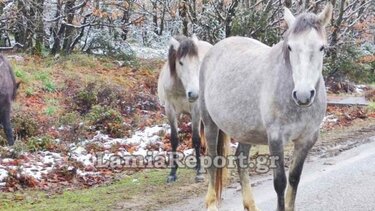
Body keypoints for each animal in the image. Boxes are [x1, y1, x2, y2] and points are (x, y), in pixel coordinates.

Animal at [157, 34, 213, 183]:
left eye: (197, 63)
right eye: (181, 63)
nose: (194, 93)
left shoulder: (196, 110)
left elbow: (196, 139)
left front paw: (199, 173)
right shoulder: (170, 111)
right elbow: (174, 139)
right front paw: (173, 172)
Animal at [198, 3, 334, 211]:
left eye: (322, 47)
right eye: (290, 47)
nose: (303, 95)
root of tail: (214, 49)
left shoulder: (307, 140)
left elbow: (294, 179)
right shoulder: (276, 139)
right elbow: (280, 183)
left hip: (245, 129)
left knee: (241, 159)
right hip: (210, 123)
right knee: (213, 160)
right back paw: (211, 203)